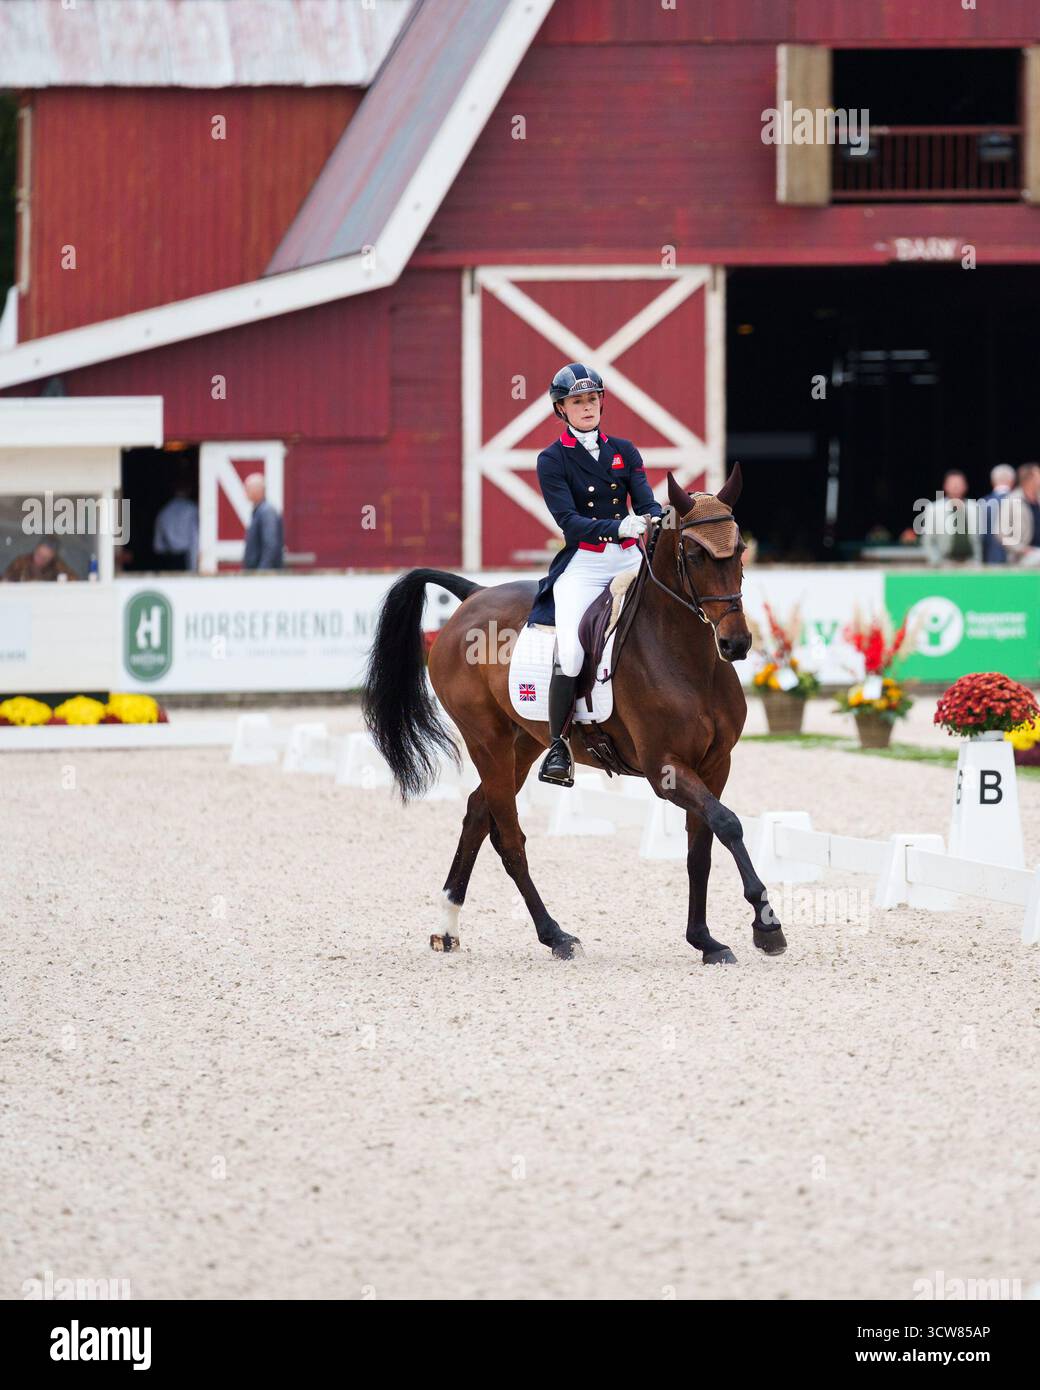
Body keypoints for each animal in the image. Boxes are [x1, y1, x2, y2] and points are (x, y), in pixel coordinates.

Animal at [362, 465, 786, 965]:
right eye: (697, 555)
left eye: (738, 551)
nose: (735, 643)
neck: (687, 659)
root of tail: (474, 596)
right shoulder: (664, 768)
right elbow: (729, 824)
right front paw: (765, 924)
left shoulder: (716, 764)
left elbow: (702, 847)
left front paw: (706, 940)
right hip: (486, 739)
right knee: (509, 838)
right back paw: (554, 934)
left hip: (523, 743)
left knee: (477, 815)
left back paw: (446, 926)